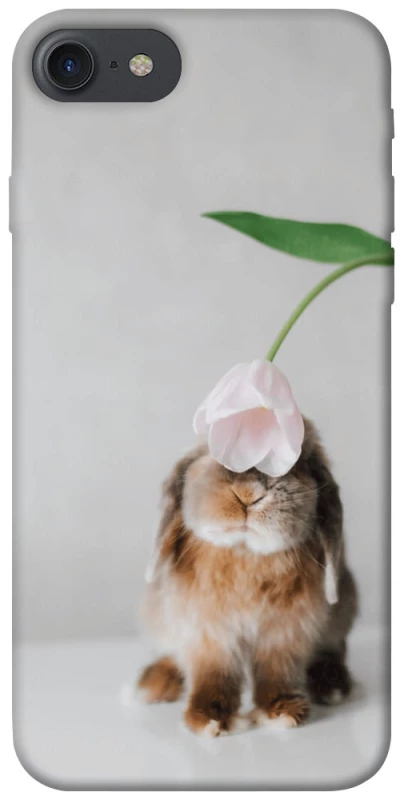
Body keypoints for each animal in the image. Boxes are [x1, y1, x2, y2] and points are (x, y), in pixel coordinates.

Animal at [136, 418, 358, 736]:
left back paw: (333, 685)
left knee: (334, 648)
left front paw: (282, 711)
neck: (245, 551)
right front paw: (209, 719)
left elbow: (277, 670)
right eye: (215, 455)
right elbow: (212, 672)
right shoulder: (206, 632)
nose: (248, 493)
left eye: (296, 464)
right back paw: (151, 683)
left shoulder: (285, 632)